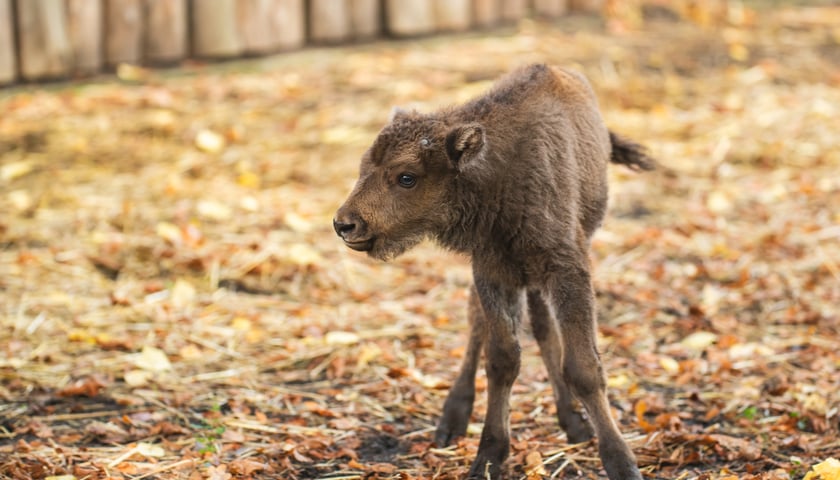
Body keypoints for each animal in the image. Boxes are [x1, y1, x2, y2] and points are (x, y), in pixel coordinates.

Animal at [332, 63, 652, 480]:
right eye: (364, 168)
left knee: (543, 330)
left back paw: (573, 422)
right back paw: (453, 420)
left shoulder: (565, 270)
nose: (345, 224)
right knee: (480, 326)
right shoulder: (491, 271)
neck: (497, 170)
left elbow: (582, 368)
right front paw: (488, 457)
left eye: (406, 177)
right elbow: (501, 359)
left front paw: (621, 462)